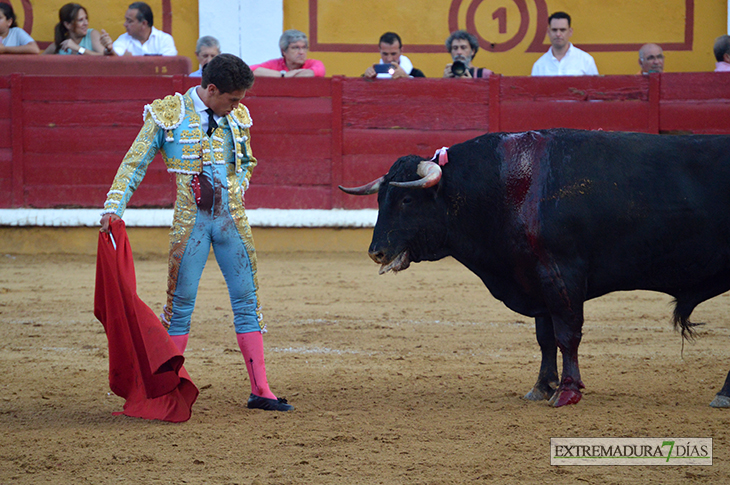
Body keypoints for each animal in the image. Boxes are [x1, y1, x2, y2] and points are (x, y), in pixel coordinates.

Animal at [338, 126, 728, 406]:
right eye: (380, 198)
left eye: (406, 199)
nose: (376, 252)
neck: (506, 188)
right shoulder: (535, 276)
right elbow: (545, 337)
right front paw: (542, 387)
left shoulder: (562, 275)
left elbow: (568, 333)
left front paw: (568, 391)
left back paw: (722, 395)